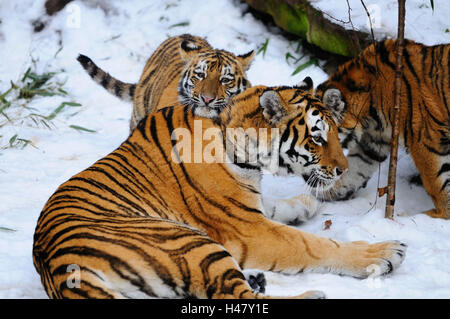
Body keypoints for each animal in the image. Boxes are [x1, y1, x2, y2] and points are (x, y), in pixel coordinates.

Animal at [31, 84, 406, 298]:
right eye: (316, 137)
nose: (343, 169)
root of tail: (58, 267)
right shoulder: (249, 230)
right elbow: (314, 245)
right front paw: (382, 253)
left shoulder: (248, 210)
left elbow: (270, 204)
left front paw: (303, 203)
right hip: (192, 243)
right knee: (233, 295)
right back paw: (314, 294)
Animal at [314, 38, 448, 220]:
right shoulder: (373, 141)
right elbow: (356, 168)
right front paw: (326, 192)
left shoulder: (426, 142)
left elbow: (436, 183)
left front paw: (441, 214)